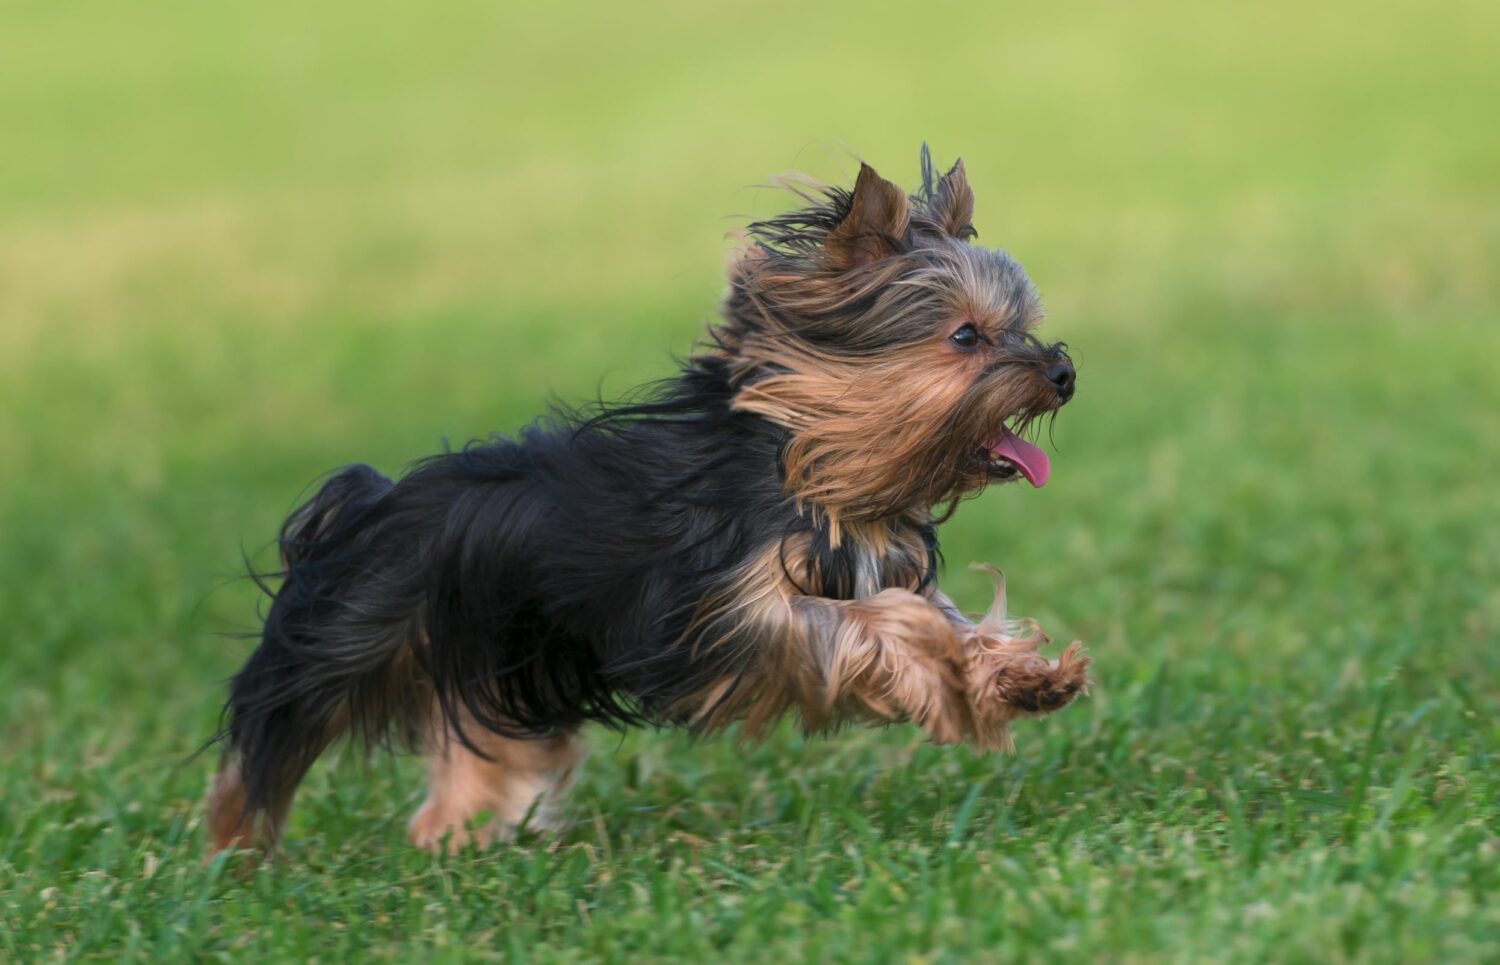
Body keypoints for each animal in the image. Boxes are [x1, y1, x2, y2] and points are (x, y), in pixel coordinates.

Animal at [205, 149, 1086, 852]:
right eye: (965, 336)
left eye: (1022, 325)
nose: (1063, 372)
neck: (813, 466)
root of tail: (372, 502)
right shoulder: (726, 614)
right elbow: (870, 626)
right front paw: (944, 673)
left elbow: (948, 618)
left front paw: (1020, 677)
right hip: (350, 634)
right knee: (270, 731)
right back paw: (235, 850)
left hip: (494, 665)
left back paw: (458, 838)